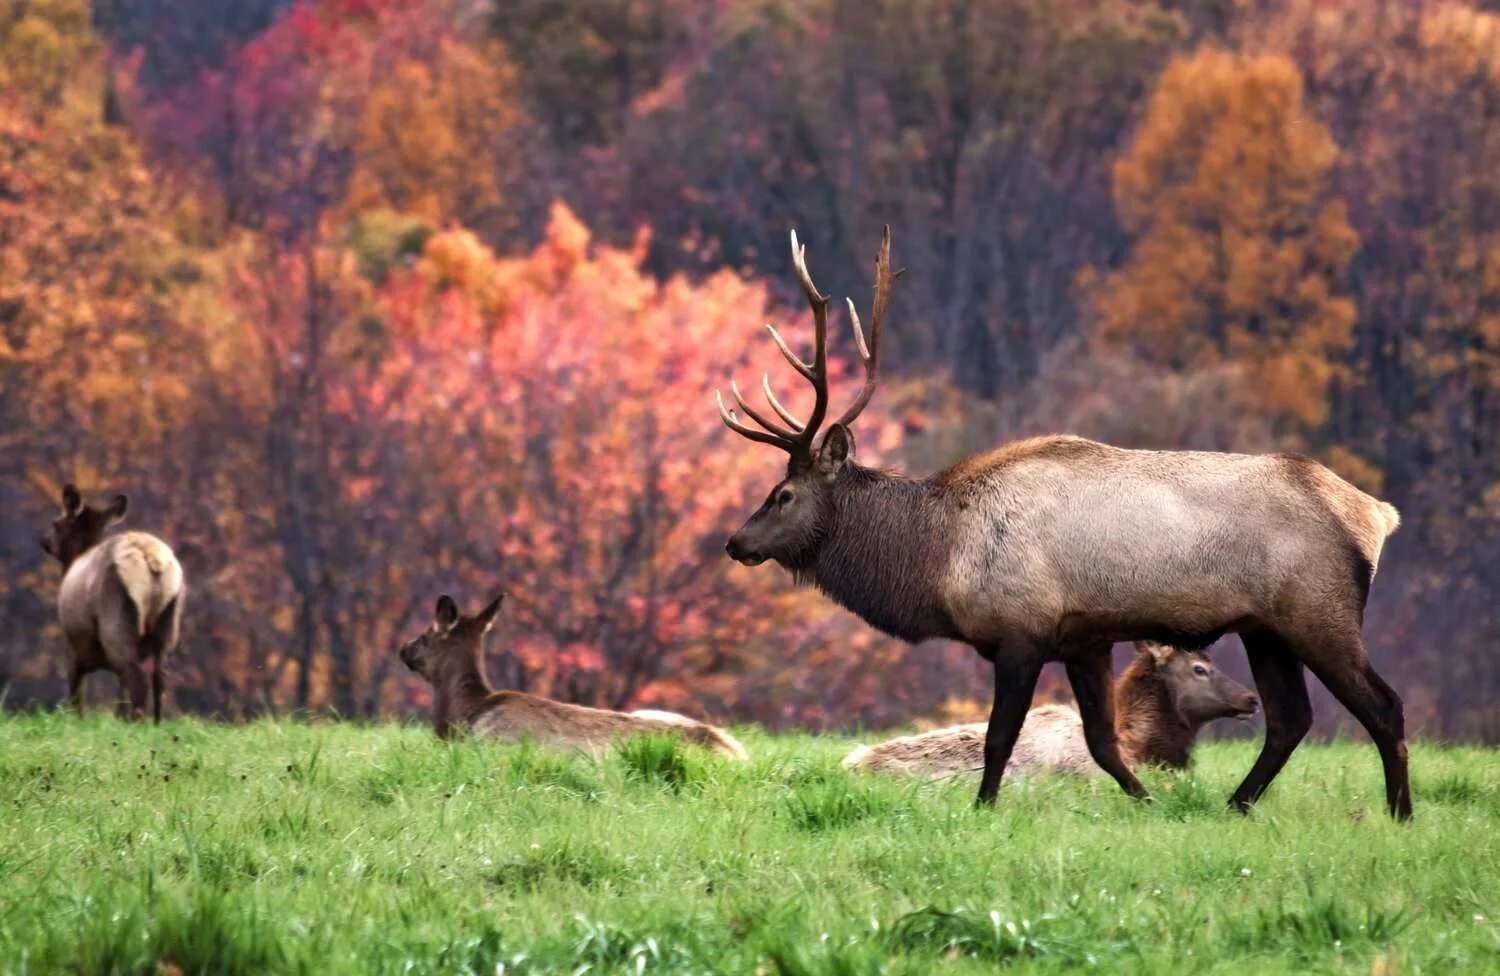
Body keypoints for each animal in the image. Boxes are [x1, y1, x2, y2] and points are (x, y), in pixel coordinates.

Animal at [39, 485, 184, 722]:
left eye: (56, 523)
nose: (44, 541)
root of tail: (150, 557)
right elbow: (120, 697)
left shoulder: (74, 649)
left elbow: (76, 697)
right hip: (168, 621)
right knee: (160, 677)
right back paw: (155, 723)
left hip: (116, 621)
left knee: (138, 679)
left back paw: (138, 724)